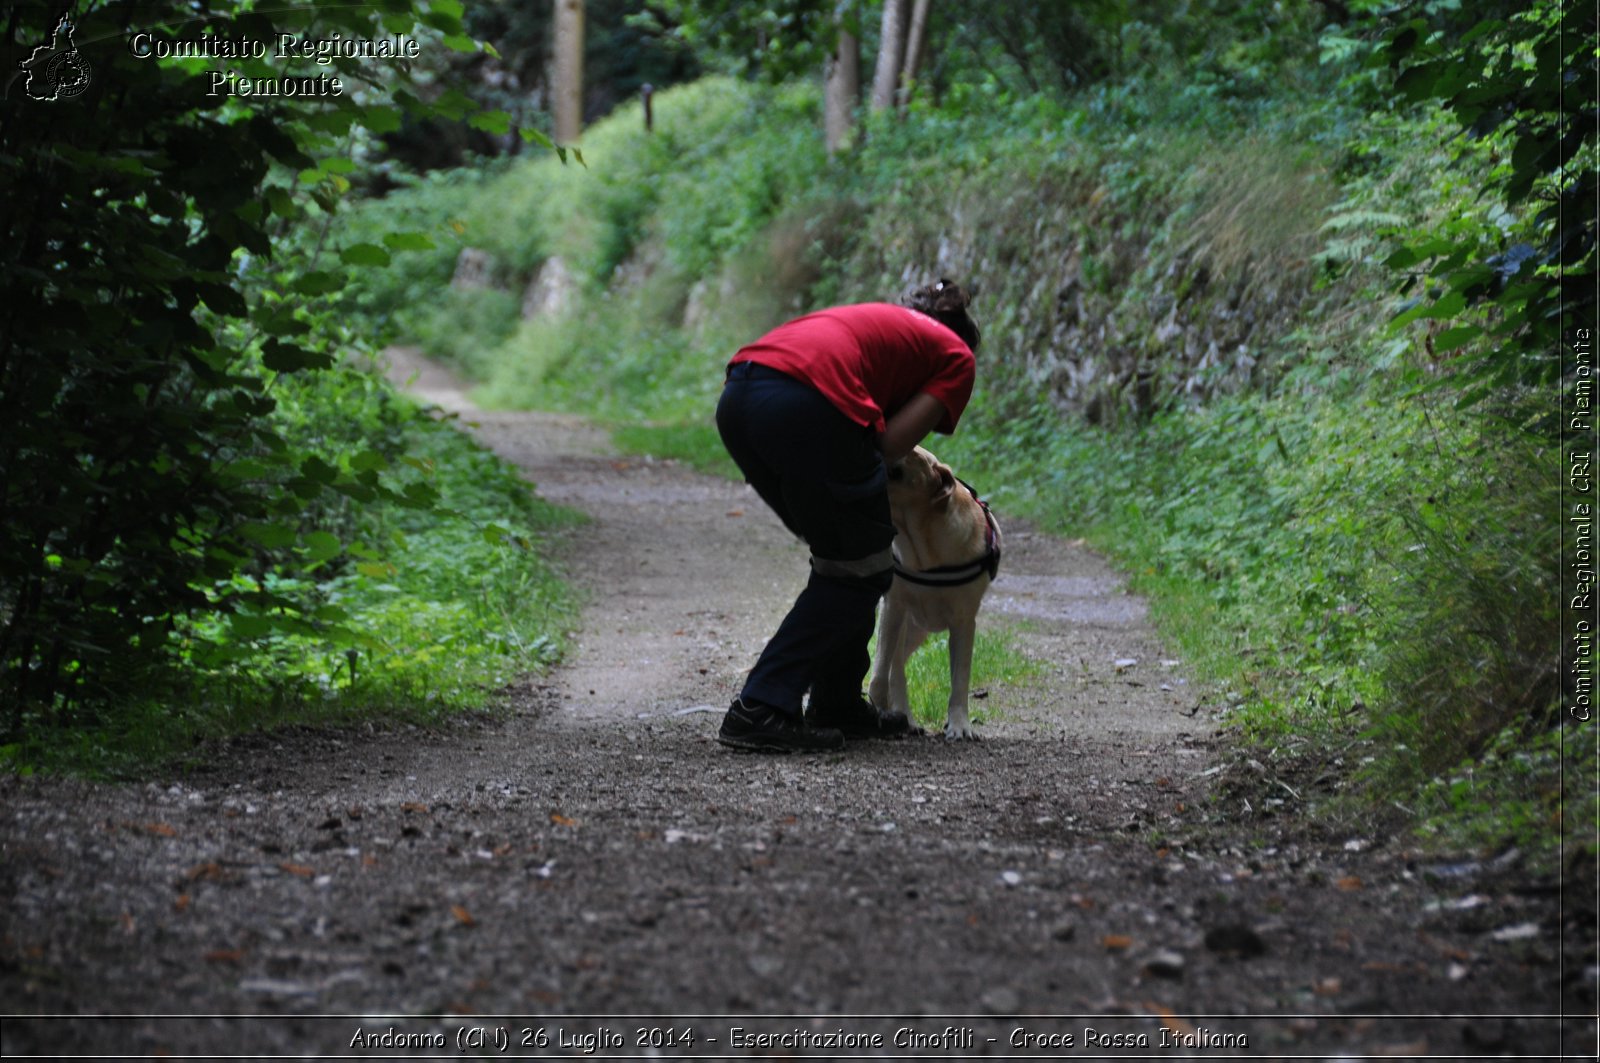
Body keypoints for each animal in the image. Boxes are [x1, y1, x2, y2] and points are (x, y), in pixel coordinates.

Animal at [870, 445, 1004, 739]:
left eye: (913, 449)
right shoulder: (893, 607)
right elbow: (882, 671)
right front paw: (879, 706)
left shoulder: (963, 622)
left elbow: (960, 679)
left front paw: (960, 725)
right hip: (903, 625)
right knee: (895, 669)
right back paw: (904, 716)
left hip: (916, 632)